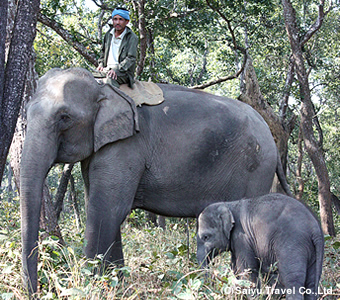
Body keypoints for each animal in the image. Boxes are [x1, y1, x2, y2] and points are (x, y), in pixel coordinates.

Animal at [19, 67, 290, 292]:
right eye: (27, 113)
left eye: (64, 117)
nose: (35, 291)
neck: (102, 87)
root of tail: (270, 135)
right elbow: (106, 210)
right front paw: (118, 286)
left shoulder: (127, 145)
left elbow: (106, 209)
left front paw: (92, 288)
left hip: (255, 168)